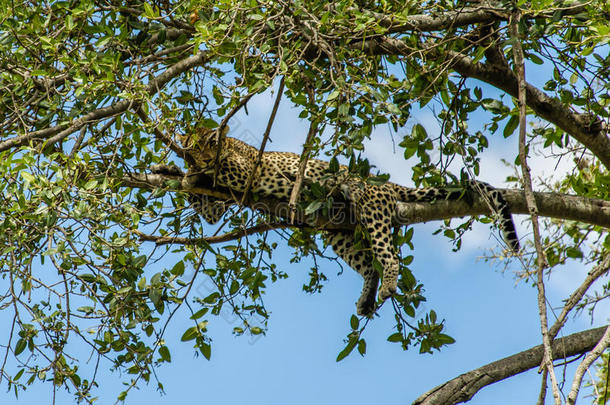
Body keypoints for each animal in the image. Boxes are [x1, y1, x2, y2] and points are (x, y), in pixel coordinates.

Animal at [153, 126, 516, 316]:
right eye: (193, 144)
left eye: (208, 144)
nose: (196, 156)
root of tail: (385, 184)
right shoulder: (218, 201)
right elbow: (206, 207)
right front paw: (169, 169)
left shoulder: (250, 172)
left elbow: (218, 169)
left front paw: (188, 169)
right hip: (339, 234)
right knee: (368, 265)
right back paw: (366, 299)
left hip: (370, 205)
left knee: (388, 255)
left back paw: (389, 284)